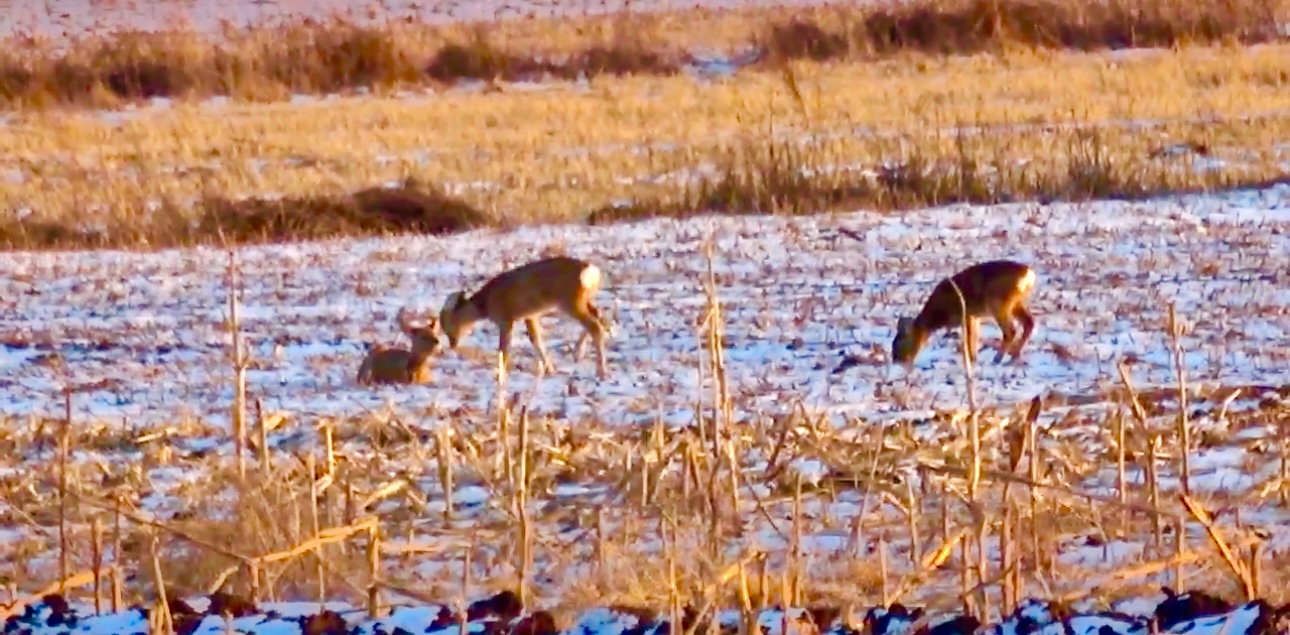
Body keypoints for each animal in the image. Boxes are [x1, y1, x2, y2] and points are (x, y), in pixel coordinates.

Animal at [436, 255, 611, 379]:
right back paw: (578, 353)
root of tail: (591, 271)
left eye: (446, 322)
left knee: (594, 325)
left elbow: (504, 348)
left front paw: (499, 374)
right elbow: (536, 340)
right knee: (599, 316)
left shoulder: (505, 319)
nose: (452, 343)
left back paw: (601, 371)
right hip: (583, 299)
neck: (485, 304)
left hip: (569, 300)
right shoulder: (531, 316)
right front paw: (549, 370)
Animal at [887, 258, 1037, 366]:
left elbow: (969, 338)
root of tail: (1029, 274)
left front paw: (970, 359)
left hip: (998, 302)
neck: (938, 313)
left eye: (898, 344)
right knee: (1029, 322)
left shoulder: (966, 315)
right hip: (1016, 302)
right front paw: (973, 358)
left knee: (1011, 331)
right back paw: (1014, 356)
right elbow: (974, 337)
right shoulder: (974, 317)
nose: (896, 360)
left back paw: (998, 359)